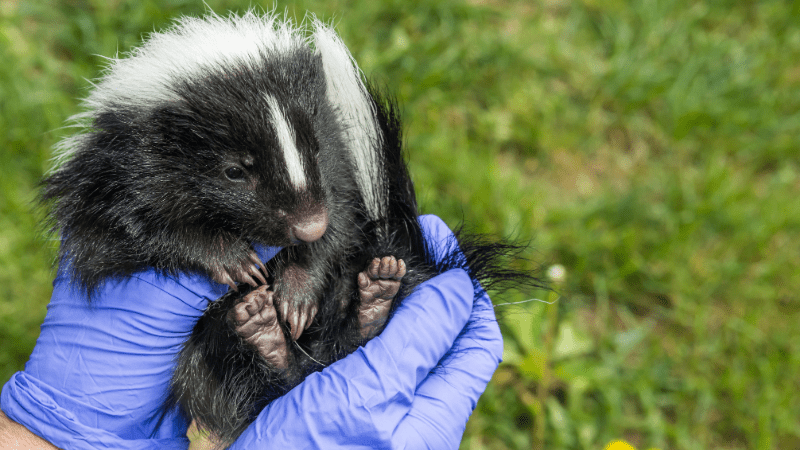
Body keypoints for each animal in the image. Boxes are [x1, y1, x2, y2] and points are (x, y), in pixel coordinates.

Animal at [36, 10, 536, 446]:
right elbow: (130, 231)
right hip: (209, 362)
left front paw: (297, 289)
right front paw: (229, 257)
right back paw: (265, 331)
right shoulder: (109, 182)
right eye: (234, 172)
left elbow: (341, 222)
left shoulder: (335, 180)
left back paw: (374, 295)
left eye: (314, 149)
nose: (308, 225)